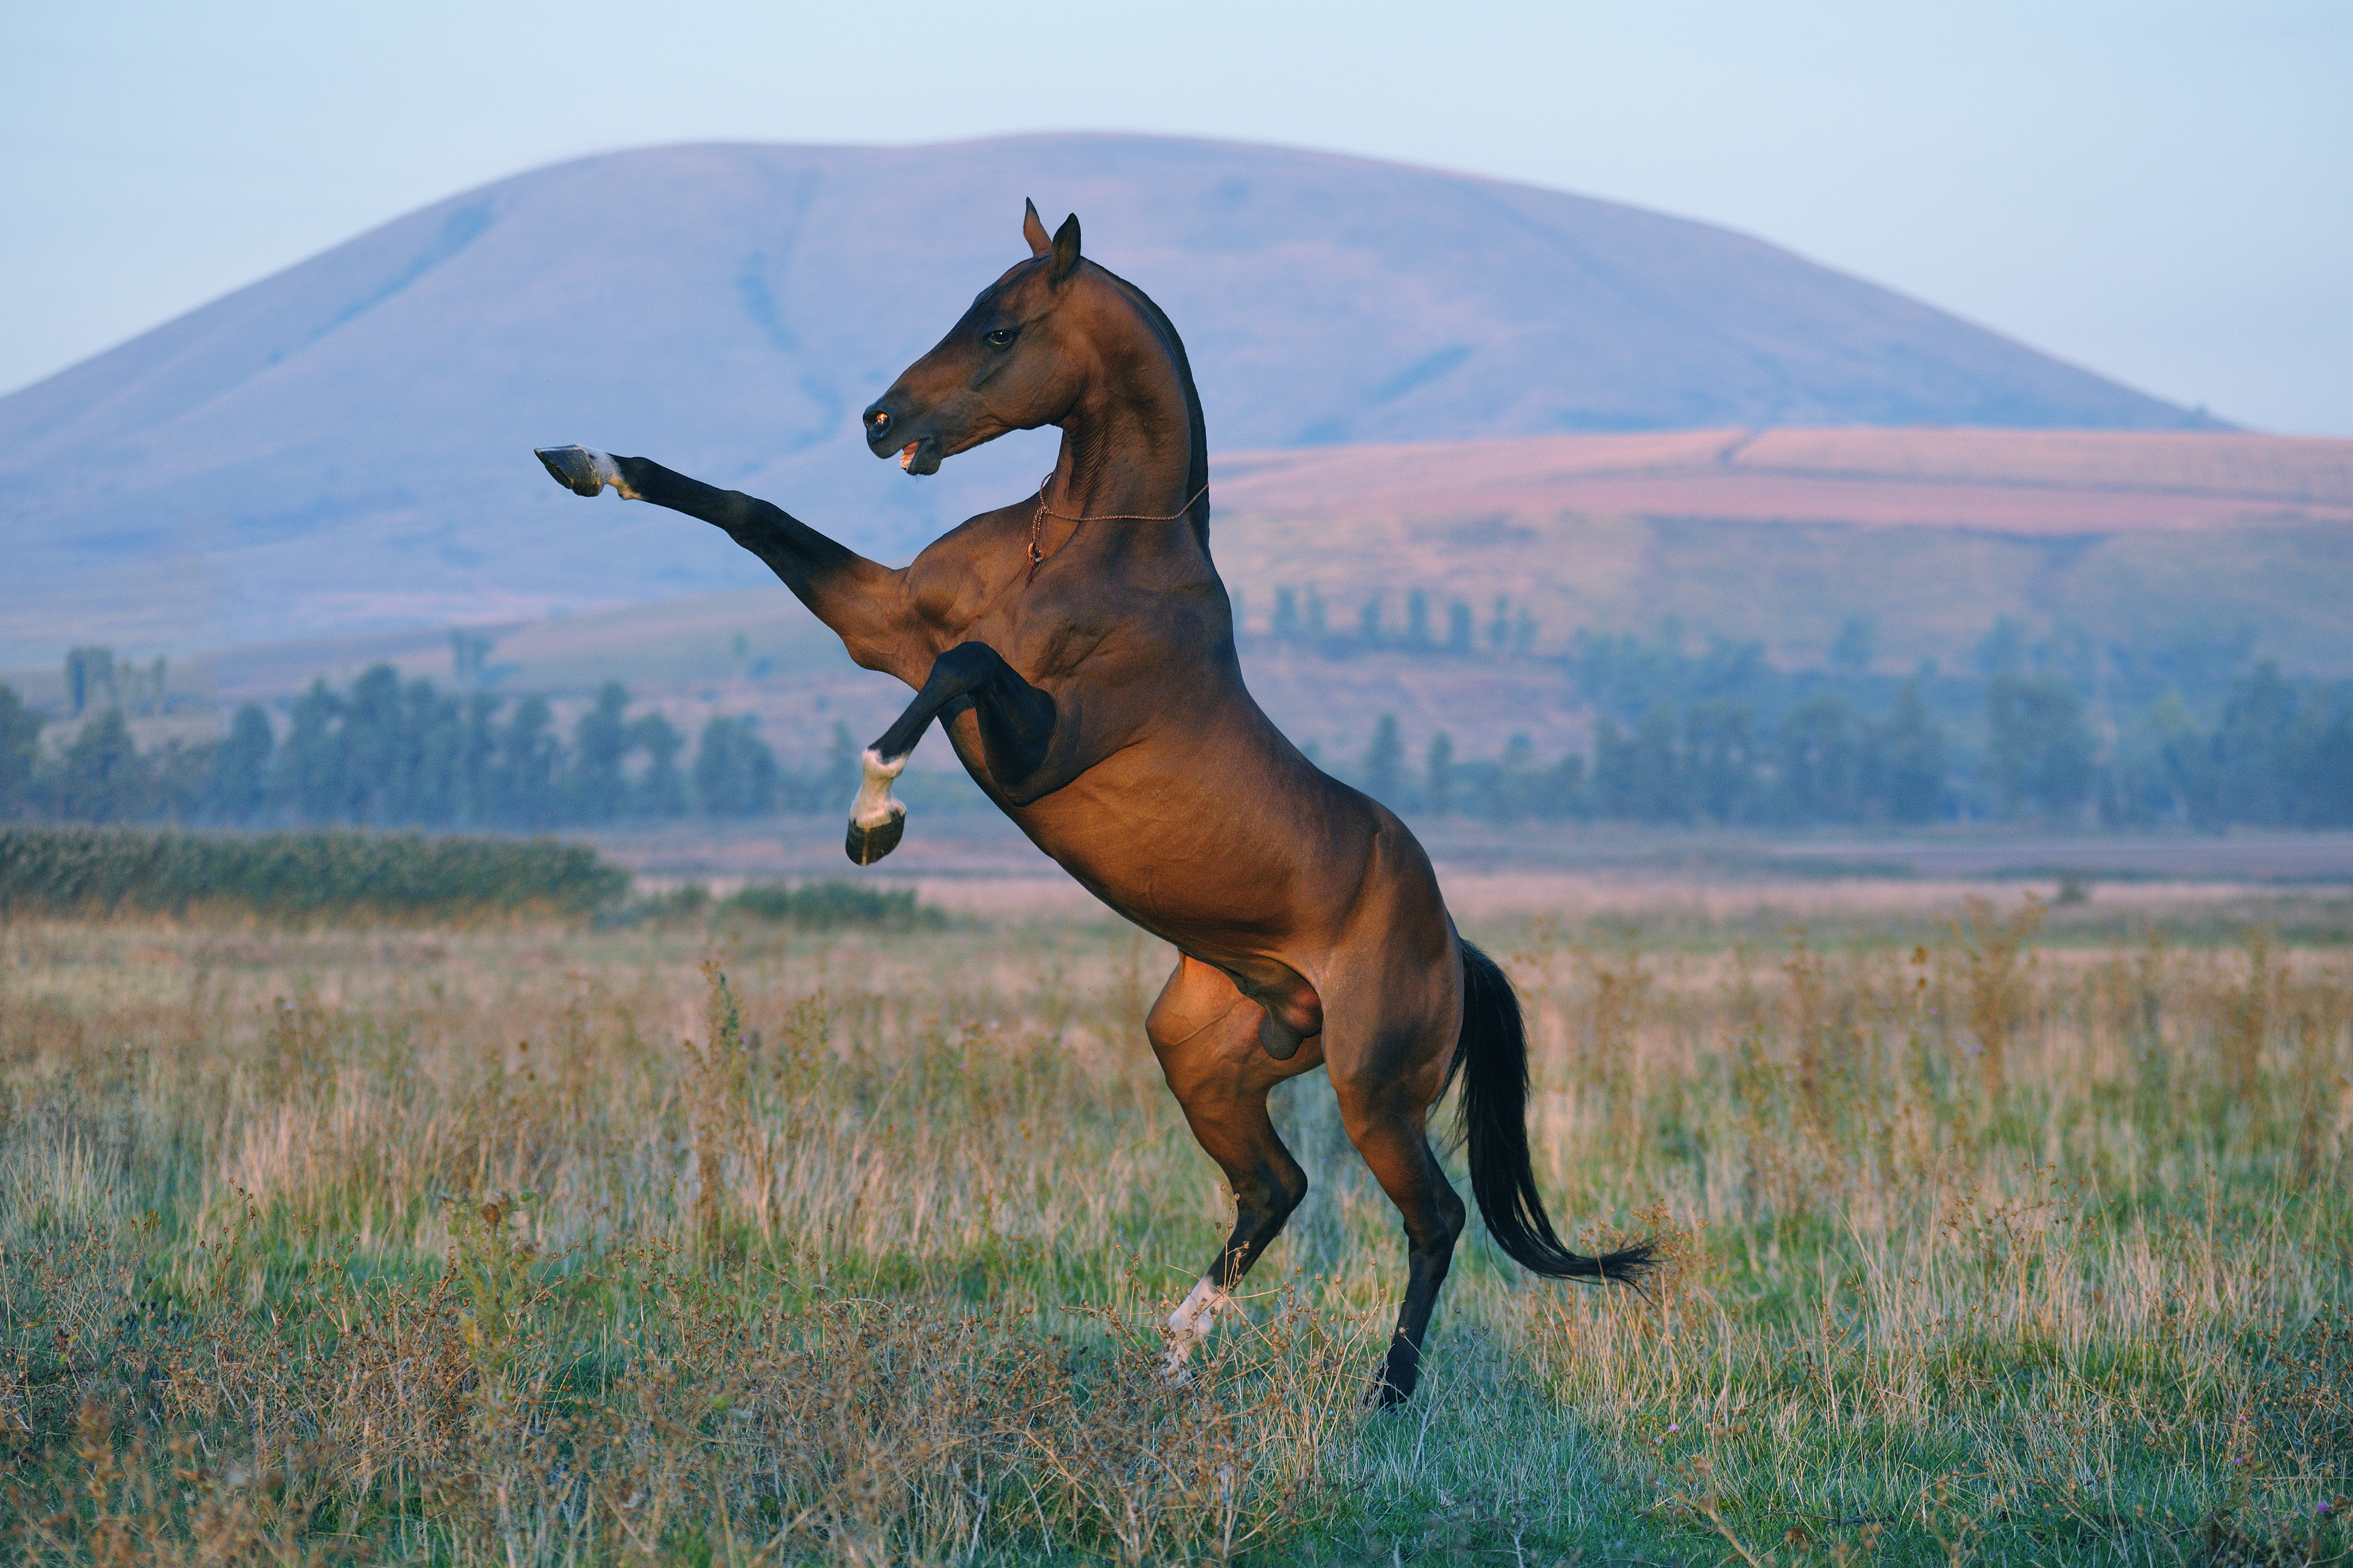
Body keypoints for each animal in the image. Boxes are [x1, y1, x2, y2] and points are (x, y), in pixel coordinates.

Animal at [536, 200, 1647, 1410]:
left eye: (1000, 330)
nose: (879, 422)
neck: (1077, 547)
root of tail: (1455, 943)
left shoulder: (1026, 745)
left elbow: (963, 666)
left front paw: (873, 819)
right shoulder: (882, 625)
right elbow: (750, 511)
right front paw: (584, 463)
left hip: (1375, 1091)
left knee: (1432, 1218)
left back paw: (1382, 1403)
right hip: (1204, 1058)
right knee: (1274, 1188)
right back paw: (1171, 1357)